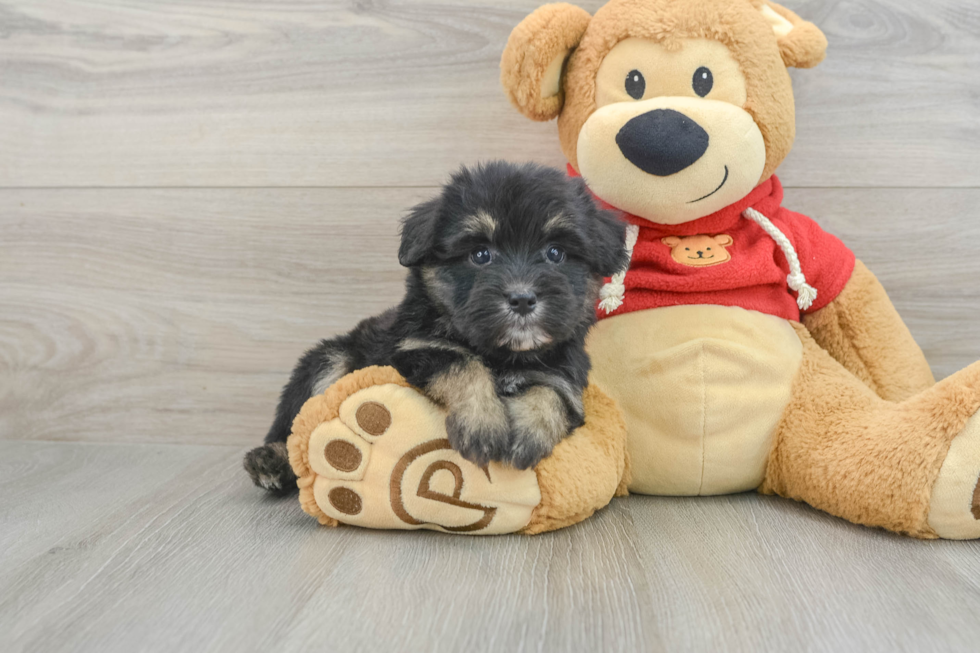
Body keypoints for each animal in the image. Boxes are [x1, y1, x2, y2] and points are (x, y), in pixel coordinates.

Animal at [245, 160, 628, 492]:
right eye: (480, 254)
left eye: (555, 253)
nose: (522, 299)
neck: (502, 355)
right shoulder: (413, 349)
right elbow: (461, 362)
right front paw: (483, 424)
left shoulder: (567, 375)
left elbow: (553, 393)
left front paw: (529, 433)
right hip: (330, 359)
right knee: (293, 426)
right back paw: (269, 461)